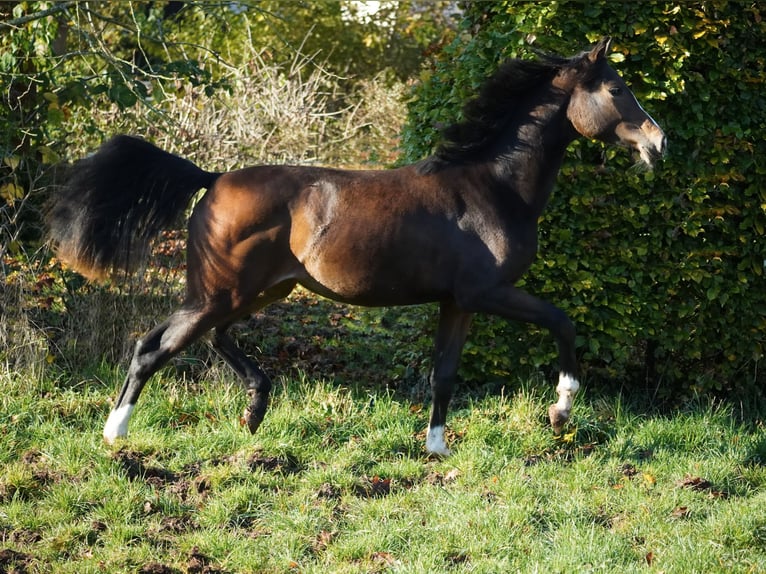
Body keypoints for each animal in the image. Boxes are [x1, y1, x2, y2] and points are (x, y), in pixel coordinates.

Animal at [48, 38, 664, 456]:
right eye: (616, 89)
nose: (658, 142)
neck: (493, 186)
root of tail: (213, 178)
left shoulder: (457, 302)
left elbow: (444, 373)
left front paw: (436, 447)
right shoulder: (487, 291)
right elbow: (562, 321)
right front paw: (561, 409)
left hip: (259, 292)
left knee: (210, 339)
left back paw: (254, 410)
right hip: (219, 294)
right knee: (153, 346)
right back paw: (117, 432)